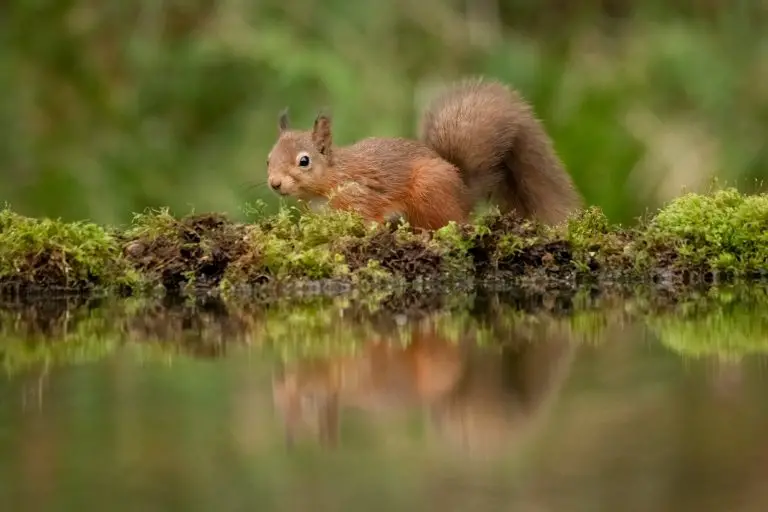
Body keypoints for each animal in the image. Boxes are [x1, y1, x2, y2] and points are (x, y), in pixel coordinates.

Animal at [266, 76, 584, 228]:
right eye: (268, 159)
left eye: (304, 161)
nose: (275, 183)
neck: (332, 177)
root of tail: (465, 191)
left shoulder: (362, 199)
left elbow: (369, 221)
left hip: (429, 189)